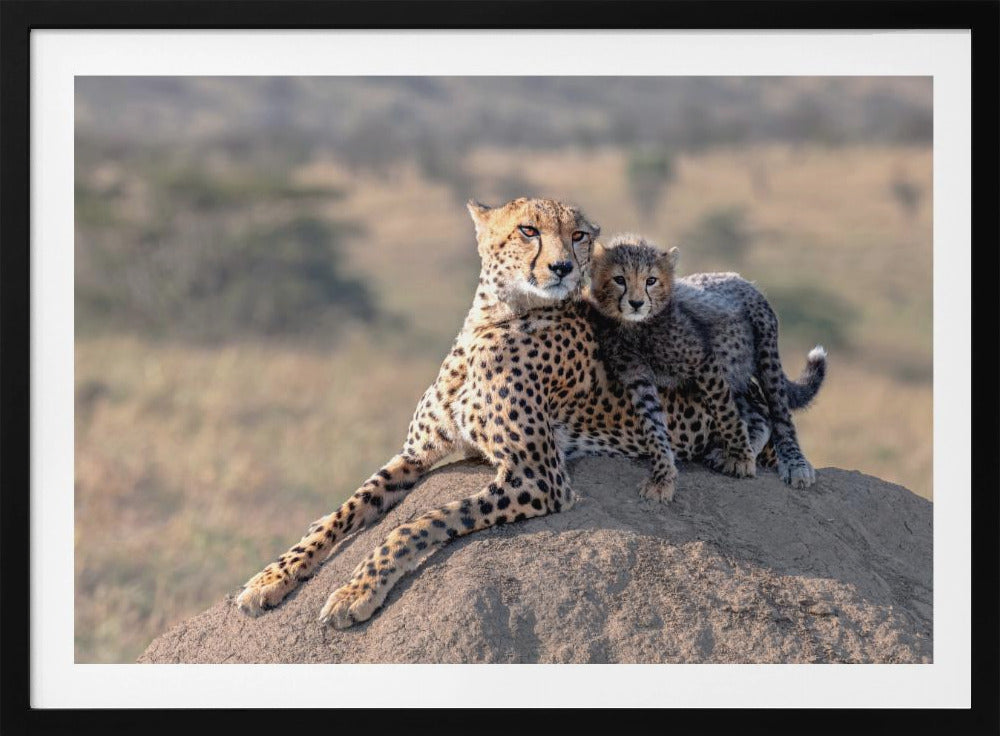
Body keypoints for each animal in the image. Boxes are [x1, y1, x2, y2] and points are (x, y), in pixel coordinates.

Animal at [235, 197, 740, 629]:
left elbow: (421, 522)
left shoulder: (538, 477)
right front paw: (273, 577)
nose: (562, 267)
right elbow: (347, 507)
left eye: (577, 235)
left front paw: (356, 591)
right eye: (528, 230)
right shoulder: (415, 454)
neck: (495, 318)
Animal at [587, 233, 827, 489]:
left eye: (650, 280)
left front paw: (741, 459)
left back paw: (794, 463)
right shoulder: (636, 375)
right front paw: (663, 474)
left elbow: (726, 413)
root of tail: (739, 277)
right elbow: (653, 422)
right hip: (734, 373)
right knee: (759, 414)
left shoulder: (704, 362)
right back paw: (736, 450)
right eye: (619, 279)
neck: (636, 328)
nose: (636, 303)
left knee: (780, 414)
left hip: (765, 353)